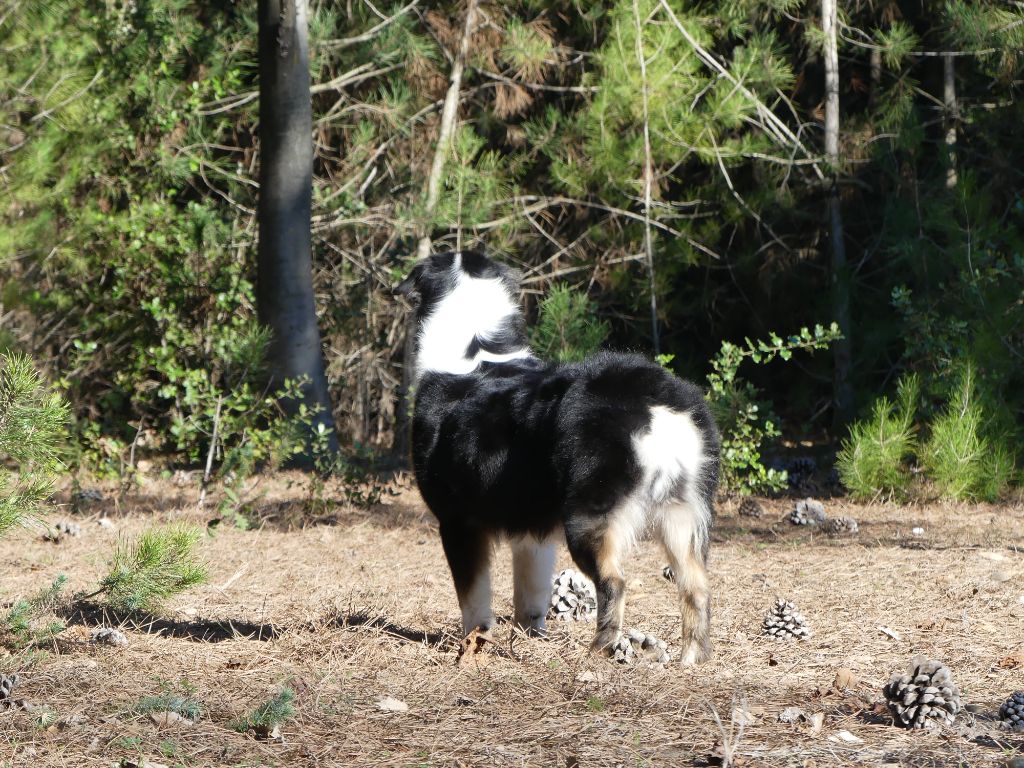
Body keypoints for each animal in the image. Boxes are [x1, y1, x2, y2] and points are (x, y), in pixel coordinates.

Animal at [393, 253, 720, 667]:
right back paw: (691, 658)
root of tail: (652, 396)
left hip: (588, 517)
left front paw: (473, 646)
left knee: (614, 582)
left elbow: (474, 599)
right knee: (696, 586)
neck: (478, 349)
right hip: (682, 514)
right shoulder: (531, 530)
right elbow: (531, 595)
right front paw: (528, 640)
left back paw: (599, 650)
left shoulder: (457, 522)